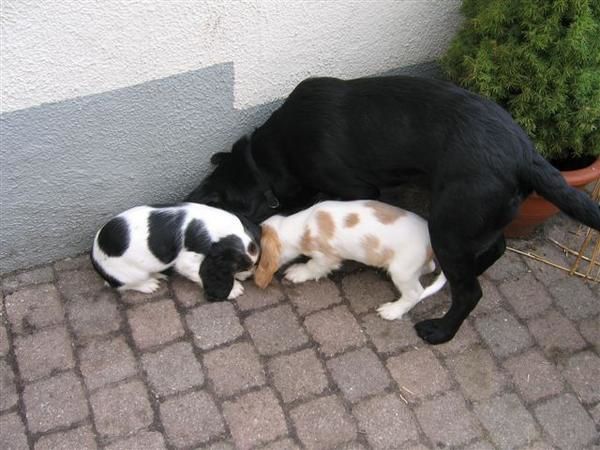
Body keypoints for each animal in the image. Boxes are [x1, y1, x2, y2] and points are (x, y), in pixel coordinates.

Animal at [90, 204, 258, 302]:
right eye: (239, 267)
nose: (249, 276)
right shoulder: (188, 261)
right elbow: (198, 273)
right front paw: (234, 289)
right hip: (130, 274)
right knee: (122, 285)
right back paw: (149, 284)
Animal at [255, 200, 448, 320]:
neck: (304, 226)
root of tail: (432, 243)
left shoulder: (326, 257)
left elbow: (313, 266)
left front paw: (298, 272)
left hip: (402, 271)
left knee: (415, 293)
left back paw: (392, 311)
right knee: (430, 267)